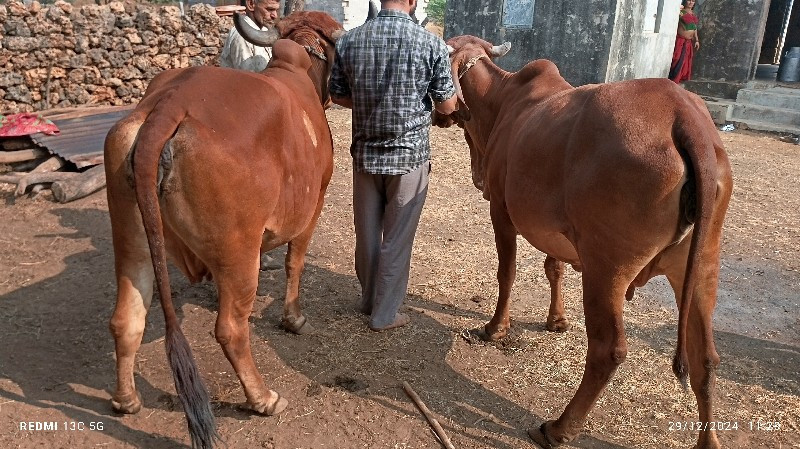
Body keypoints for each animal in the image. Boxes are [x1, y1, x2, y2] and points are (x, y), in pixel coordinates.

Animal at [103, 10, 344, 448]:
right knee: (230, 330)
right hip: (238, 250)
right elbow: (295, 263)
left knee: (126, 319)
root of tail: (168, 106)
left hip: (131, 241)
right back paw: (263, 398)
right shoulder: (314, 203)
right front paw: (293, 319)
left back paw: (126, 400)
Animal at [434, 36, 736, 448]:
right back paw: (707, 440)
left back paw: (559, 428)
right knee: (705, 357)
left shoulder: (501, 210)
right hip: (702, 264)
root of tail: (685, 117)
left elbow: (506, 273)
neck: (500, 101)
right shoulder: (558, 232)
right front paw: (557, 320)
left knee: (608, 351)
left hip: (606, 268)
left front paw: (496, 327)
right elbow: (554, 268)